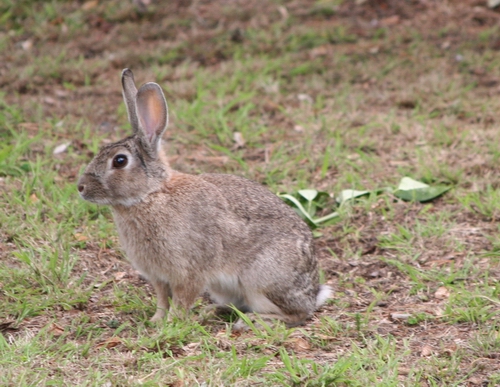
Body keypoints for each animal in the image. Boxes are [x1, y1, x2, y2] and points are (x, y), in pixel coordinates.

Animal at [76, 69, 330, 328]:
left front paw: (171, 323)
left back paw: (253, 322)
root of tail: (312, 294)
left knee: (296, 315)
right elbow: (162, 299)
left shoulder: (188, 271)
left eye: (119, 161)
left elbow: (181, 300)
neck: (151, 194)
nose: (81, 187)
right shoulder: (158, 276)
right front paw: (157, 321)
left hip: (262, 278)